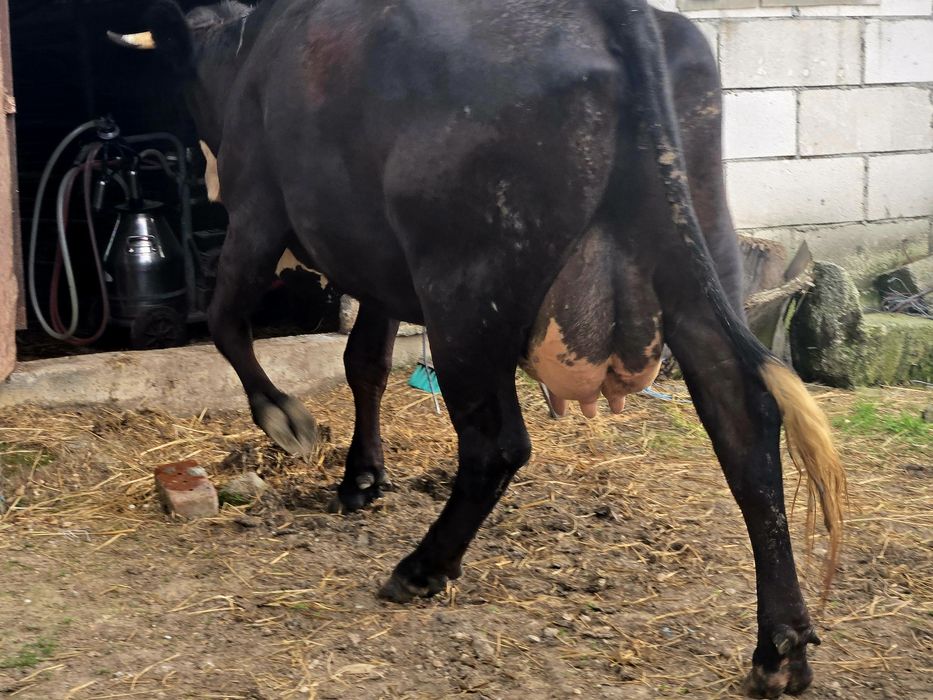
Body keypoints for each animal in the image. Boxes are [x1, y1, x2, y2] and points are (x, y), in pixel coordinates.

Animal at [109, 1, 846, 696]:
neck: (249, 50)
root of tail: (613, 14)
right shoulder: (379, 267)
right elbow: (364, 363)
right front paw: (362, 478)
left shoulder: (258, 211)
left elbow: (227, 323)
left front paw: (285, 419)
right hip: (699, 259)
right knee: (744, 424)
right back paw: (780, 649)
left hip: (465, 287)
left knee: (497, 445)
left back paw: (421, 568)